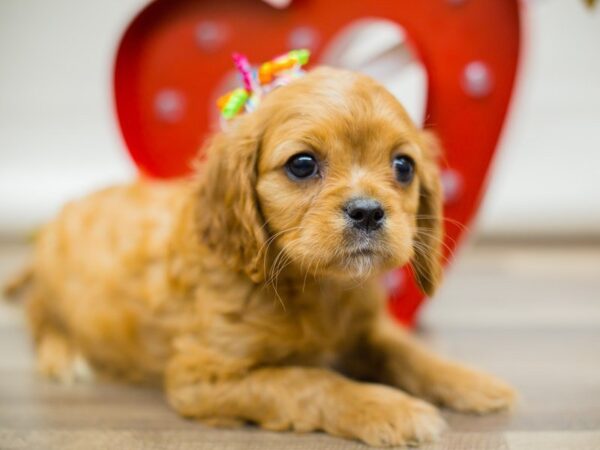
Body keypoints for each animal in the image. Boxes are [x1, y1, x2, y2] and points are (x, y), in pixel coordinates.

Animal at [17, 67, 516, 446]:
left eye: (403, 166)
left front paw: (470, 380)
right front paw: (386, 407)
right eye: (302, 164)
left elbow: (405, 351)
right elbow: (308, 381)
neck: (317, 288)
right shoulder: (202, 376)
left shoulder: (366, 328)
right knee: (39, 315)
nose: (368, 211)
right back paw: (64, 354)